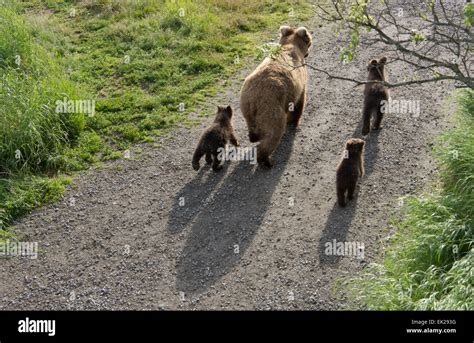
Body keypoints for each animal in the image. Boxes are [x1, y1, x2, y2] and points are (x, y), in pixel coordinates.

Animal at [241, 25, 312, 168]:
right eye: (310, 41)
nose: (308, 53)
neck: (292, 45)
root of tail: (254, 97)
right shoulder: (299, 82)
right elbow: (299, 103)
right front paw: (294, 122)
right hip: (271, 106)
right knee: (274, 132)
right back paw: (266, 160)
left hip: (245, 106)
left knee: (252, 126)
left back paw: (254, 137)